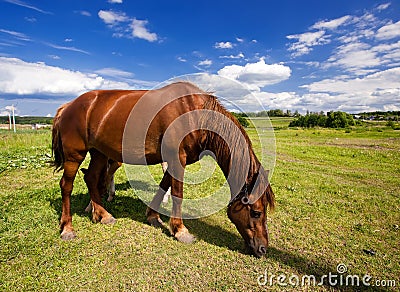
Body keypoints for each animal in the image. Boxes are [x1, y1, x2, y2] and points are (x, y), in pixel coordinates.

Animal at [52, 81, 276, 256]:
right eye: (256, 212)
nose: (263, 249)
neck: (195, 113)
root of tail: (68, 106)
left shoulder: (172, 160)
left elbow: (163, 186)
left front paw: (153, 216)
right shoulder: (177, 159)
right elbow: (177, 193)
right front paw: (180, 230)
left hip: (99, 153)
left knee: (91, 178)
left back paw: (102, 215)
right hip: (75, 156)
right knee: (67, 186)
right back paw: (67, 228)